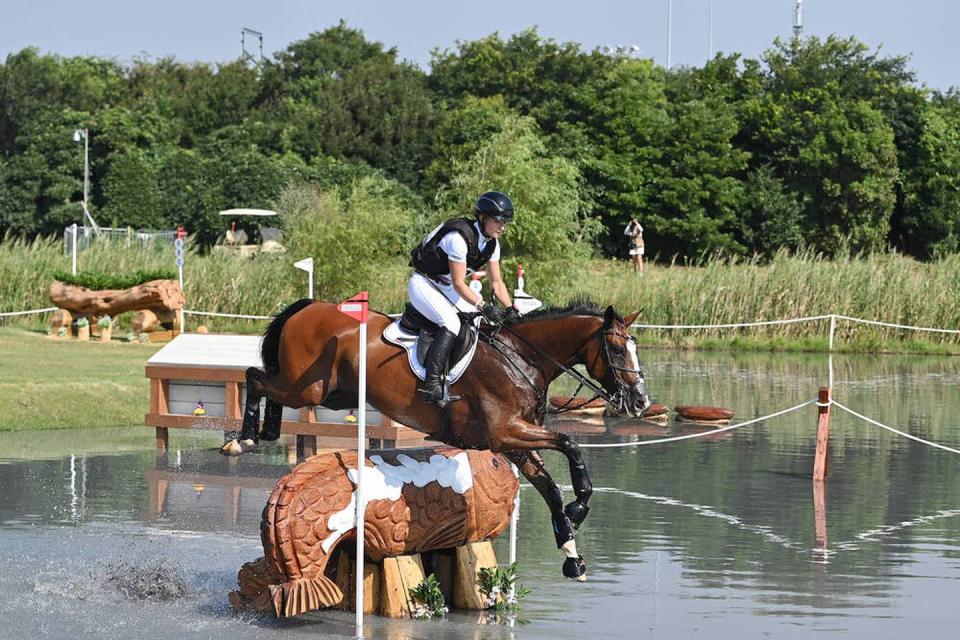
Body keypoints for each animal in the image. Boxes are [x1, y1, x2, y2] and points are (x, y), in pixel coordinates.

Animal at [221, 300, 648, 580]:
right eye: (616, 349)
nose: (641, 401)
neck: (521, 359)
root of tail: (308, 307)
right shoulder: (505, 433)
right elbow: (570, 444)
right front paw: (580, 507)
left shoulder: (515, 444)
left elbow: (552, 491)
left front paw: (572, 553)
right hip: (308, 388)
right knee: (255, 377)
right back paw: (245, 439)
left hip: (332, 393)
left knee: (266, 382)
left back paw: (265, 431)